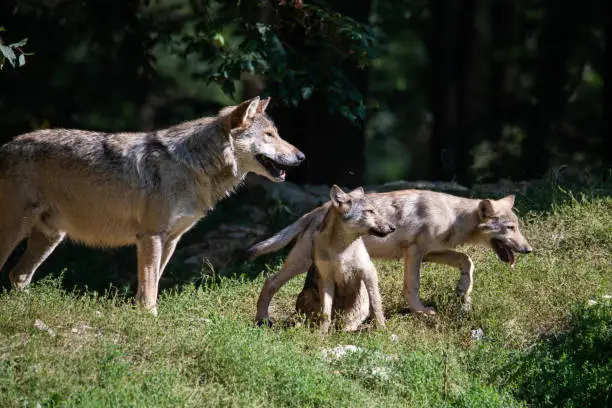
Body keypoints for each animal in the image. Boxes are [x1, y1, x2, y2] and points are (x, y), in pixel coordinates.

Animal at [0, 96, 306, 316]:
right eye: (269, 135)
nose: (302, 156)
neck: (193, 166)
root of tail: (6, 146)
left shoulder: (171, 240)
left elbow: (153, 282)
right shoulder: (151, 236)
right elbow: (148, 286)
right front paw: (150, 318)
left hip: (51, 237)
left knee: (19, 275)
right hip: (15, 232)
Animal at [249, 190, 532, 320]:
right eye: (510, 228)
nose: (529, 249)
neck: (452, 217)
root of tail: (316, 211)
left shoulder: (431, 252)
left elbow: (467, 260)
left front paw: (463, 291)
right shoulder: (414, 253)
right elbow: (412, 286)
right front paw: (420, 311)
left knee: (270, 280)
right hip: (301, 263)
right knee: (270, 281)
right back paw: (263, 319)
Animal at [256, 186, 394, 334]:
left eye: (377, 211)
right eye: (370, 211)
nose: (393, 228)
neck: (341, 250)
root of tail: (311, 213)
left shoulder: (369, 272)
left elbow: (376, 305)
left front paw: (382, 329)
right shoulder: (326, 279)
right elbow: (325, 312)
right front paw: (322, 334)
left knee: (350, 323)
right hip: (302, 274)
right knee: (271, 282)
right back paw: (263, 319)